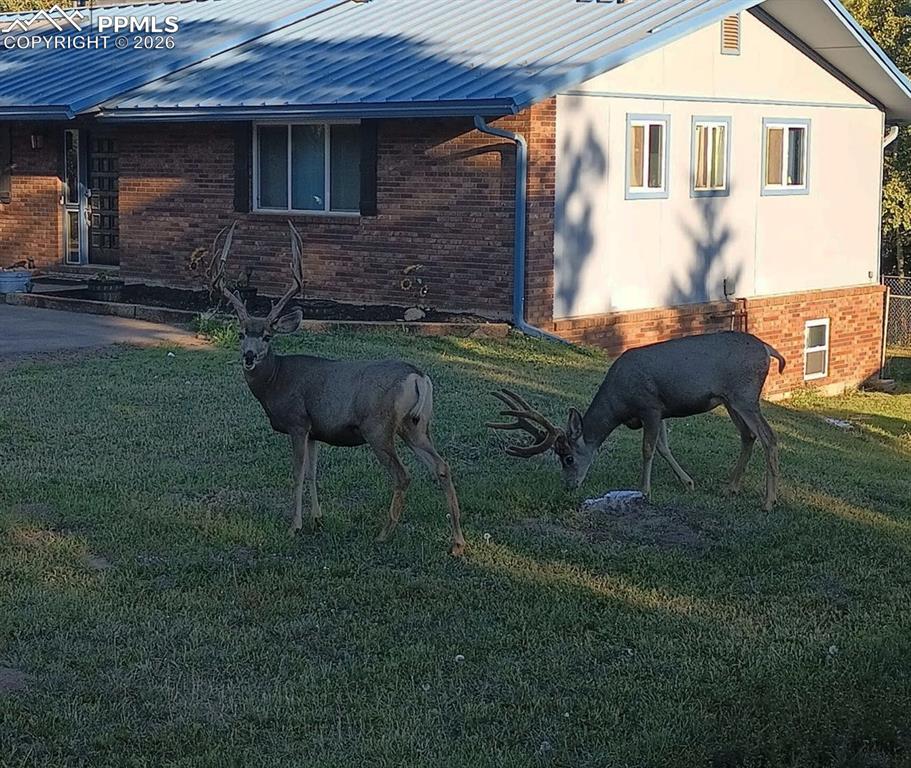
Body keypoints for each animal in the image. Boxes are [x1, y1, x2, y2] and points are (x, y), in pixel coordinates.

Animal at [208, 221, 466, 556]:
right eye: (241, 333)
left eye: (267, 335)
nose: (249, 356)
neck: (277, 380)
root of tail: (418, 376)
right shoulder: (315, 430)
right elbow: (313, 473)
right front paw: (317, 520)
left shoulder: (297, 422)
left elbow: (296, 475)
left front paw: (294, 526)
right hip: (415, 425)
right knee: (441, 466)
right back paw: (457, 542)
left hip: (378, 427)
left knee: (403, 475)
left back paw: (384, 534)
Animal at [487, 332, 785, 510]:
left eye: (568, 458)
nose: (569, 486)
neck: (619, 403)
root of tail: (768, 349)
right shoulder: (661, 410)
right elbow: (664, 447)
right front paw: (688, 483)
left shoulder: (649, 405)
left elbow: (648, 449)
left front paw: (644, 490)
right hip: (731, 400)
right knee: (749, 436)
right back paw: (730, 488)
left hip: (744, 395)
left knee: (769, 437)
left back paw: (768, 501)